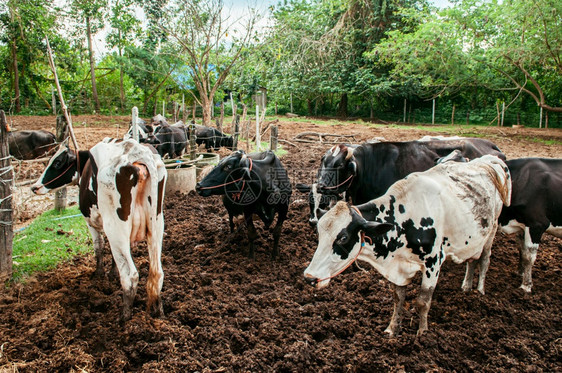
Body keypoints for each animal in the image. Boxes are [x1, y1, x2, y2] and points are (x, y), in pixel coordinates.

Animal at [30, 140, 165, 320]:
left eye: (57, 162)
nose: (34, 187)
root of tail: (137, 152)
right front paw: (111, 273)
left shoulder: (91, 221)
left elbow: (98, 247)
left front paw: (99, 273)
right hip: (156, 224)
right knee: (157, 272)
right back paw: (158, 312)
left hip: (116, 228)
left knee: (130, 276)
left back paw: (124, 318)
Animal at [304, 155, 510, 336]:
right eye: (320, 234)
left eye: (343, 238)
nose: (309, 278)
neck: (405, 218)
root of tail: (489, 164)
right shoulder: (398, 269)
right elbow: (398, 299)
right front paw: (392, 329)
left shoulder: (433, 262)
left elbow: (422, 302)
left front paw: (422, 333)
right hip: (473, 241)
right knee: (472, 260)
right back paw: (466, 287)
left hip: (491, 232)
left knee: (484, 260)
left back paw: (479, 291)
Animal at [496, 156, 556, 290]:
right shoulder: (522, 225)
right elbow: (522, 250)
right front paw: (520, 272)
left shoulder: (537, 225)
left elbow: (529, 257)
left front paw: (526, 285)